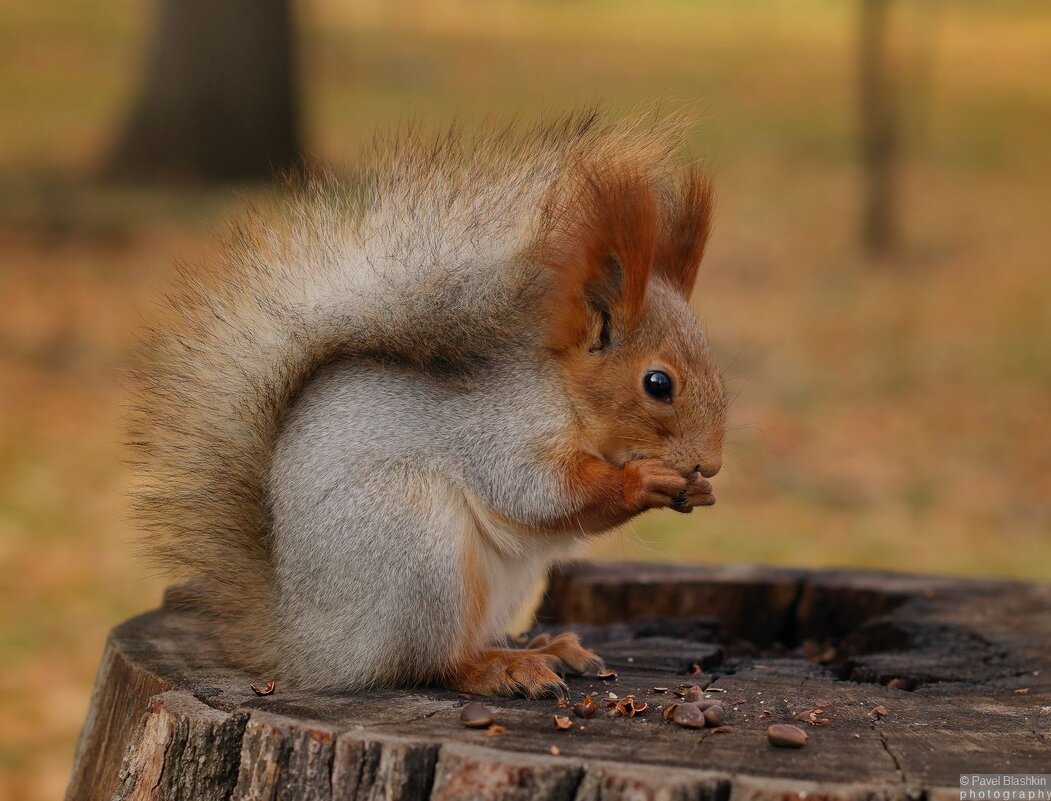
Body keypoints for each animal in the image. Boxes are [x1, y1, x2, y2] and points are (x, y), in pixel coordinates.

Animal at [131, 109, 727, 697]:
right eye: (657, 384)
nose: (712, 462)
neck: (567, 395)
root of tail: (306, 648)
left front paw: (697, 490)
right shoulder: (501, 430)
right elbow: (537, 492)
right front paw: (645, 481)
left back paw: (546, 647)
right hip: (416, 554)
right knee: (429, 664)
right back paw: (500, 668)